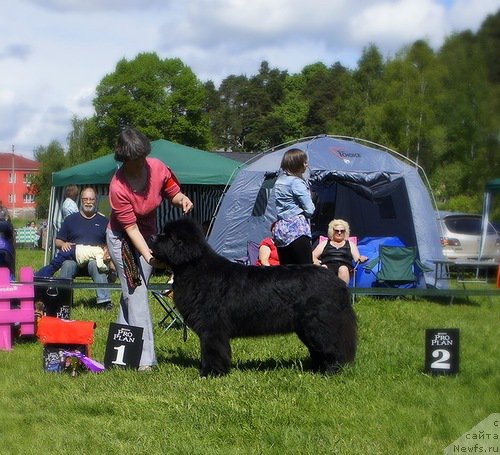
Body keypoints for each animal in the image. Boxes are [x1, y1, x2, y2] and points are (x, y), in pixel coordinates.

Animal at [151, 218, 356, 378]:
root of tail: (338, 282)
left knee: (332, 348)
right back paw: (315, 370)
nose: (152, 237)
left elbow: (212, 350)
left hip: (319, 325)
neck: (194, 267)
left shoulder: (212, 327)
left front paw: (211, 373)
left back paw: (331, 372)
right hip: (307, 328)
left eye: (168, 236)